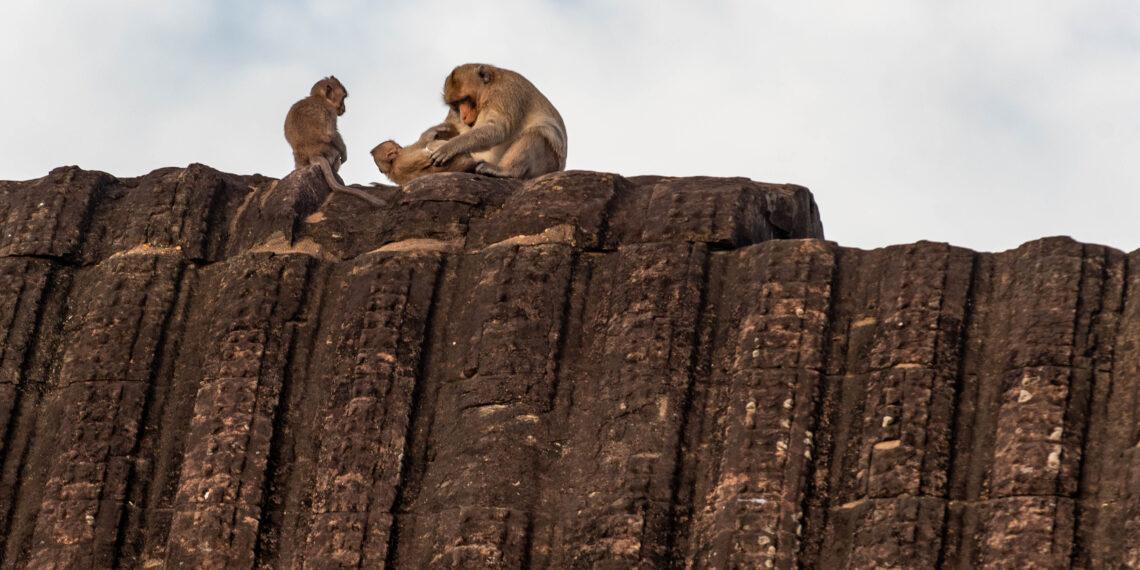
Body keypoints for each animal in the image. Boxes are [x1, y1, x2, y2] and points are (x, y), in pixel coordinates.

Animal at [283, 76, 385, 206]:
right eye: (343, 98)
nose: (344, 108)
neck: (319, 98)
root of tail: (312, 154)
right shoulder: (330, 110)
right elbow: (331, 133)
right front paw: (345, 153)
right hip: (330, 153)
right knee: (336, 154)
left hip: (300, 161)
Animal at [426, 64, 567, 180]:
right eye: (456, 103)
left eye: (465, 99)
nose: (463, 116)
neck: (487, 91)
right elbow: (452, 126)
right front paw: (432, 134)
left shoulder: (504, 93)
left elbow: (498, 129)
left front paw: (450, 146)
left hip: (547, 165)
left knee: (537, 134)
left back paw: (506, 170)